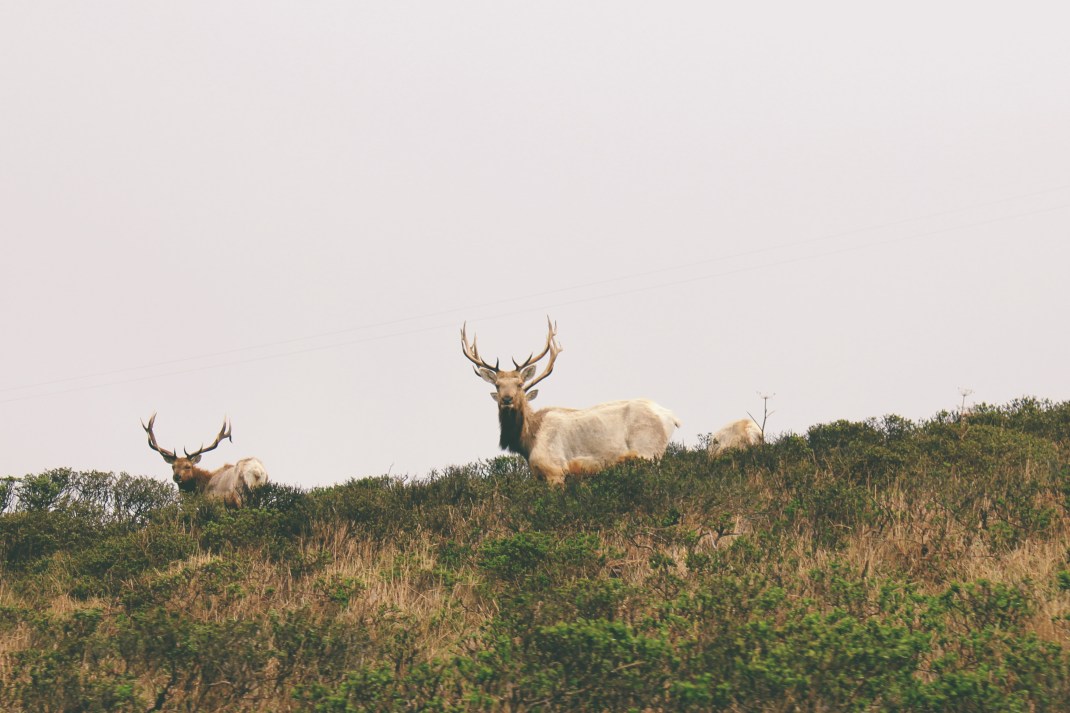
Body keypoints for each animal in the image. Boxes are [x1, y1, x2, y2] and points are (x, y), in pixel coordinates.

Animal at [461, 318, 680, 486]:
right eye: (498, 385)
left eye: (520, 384)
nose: (507, 399)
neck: (528, 441)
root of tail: (672, 417)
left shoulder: (555, 470)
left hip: (648, 451)